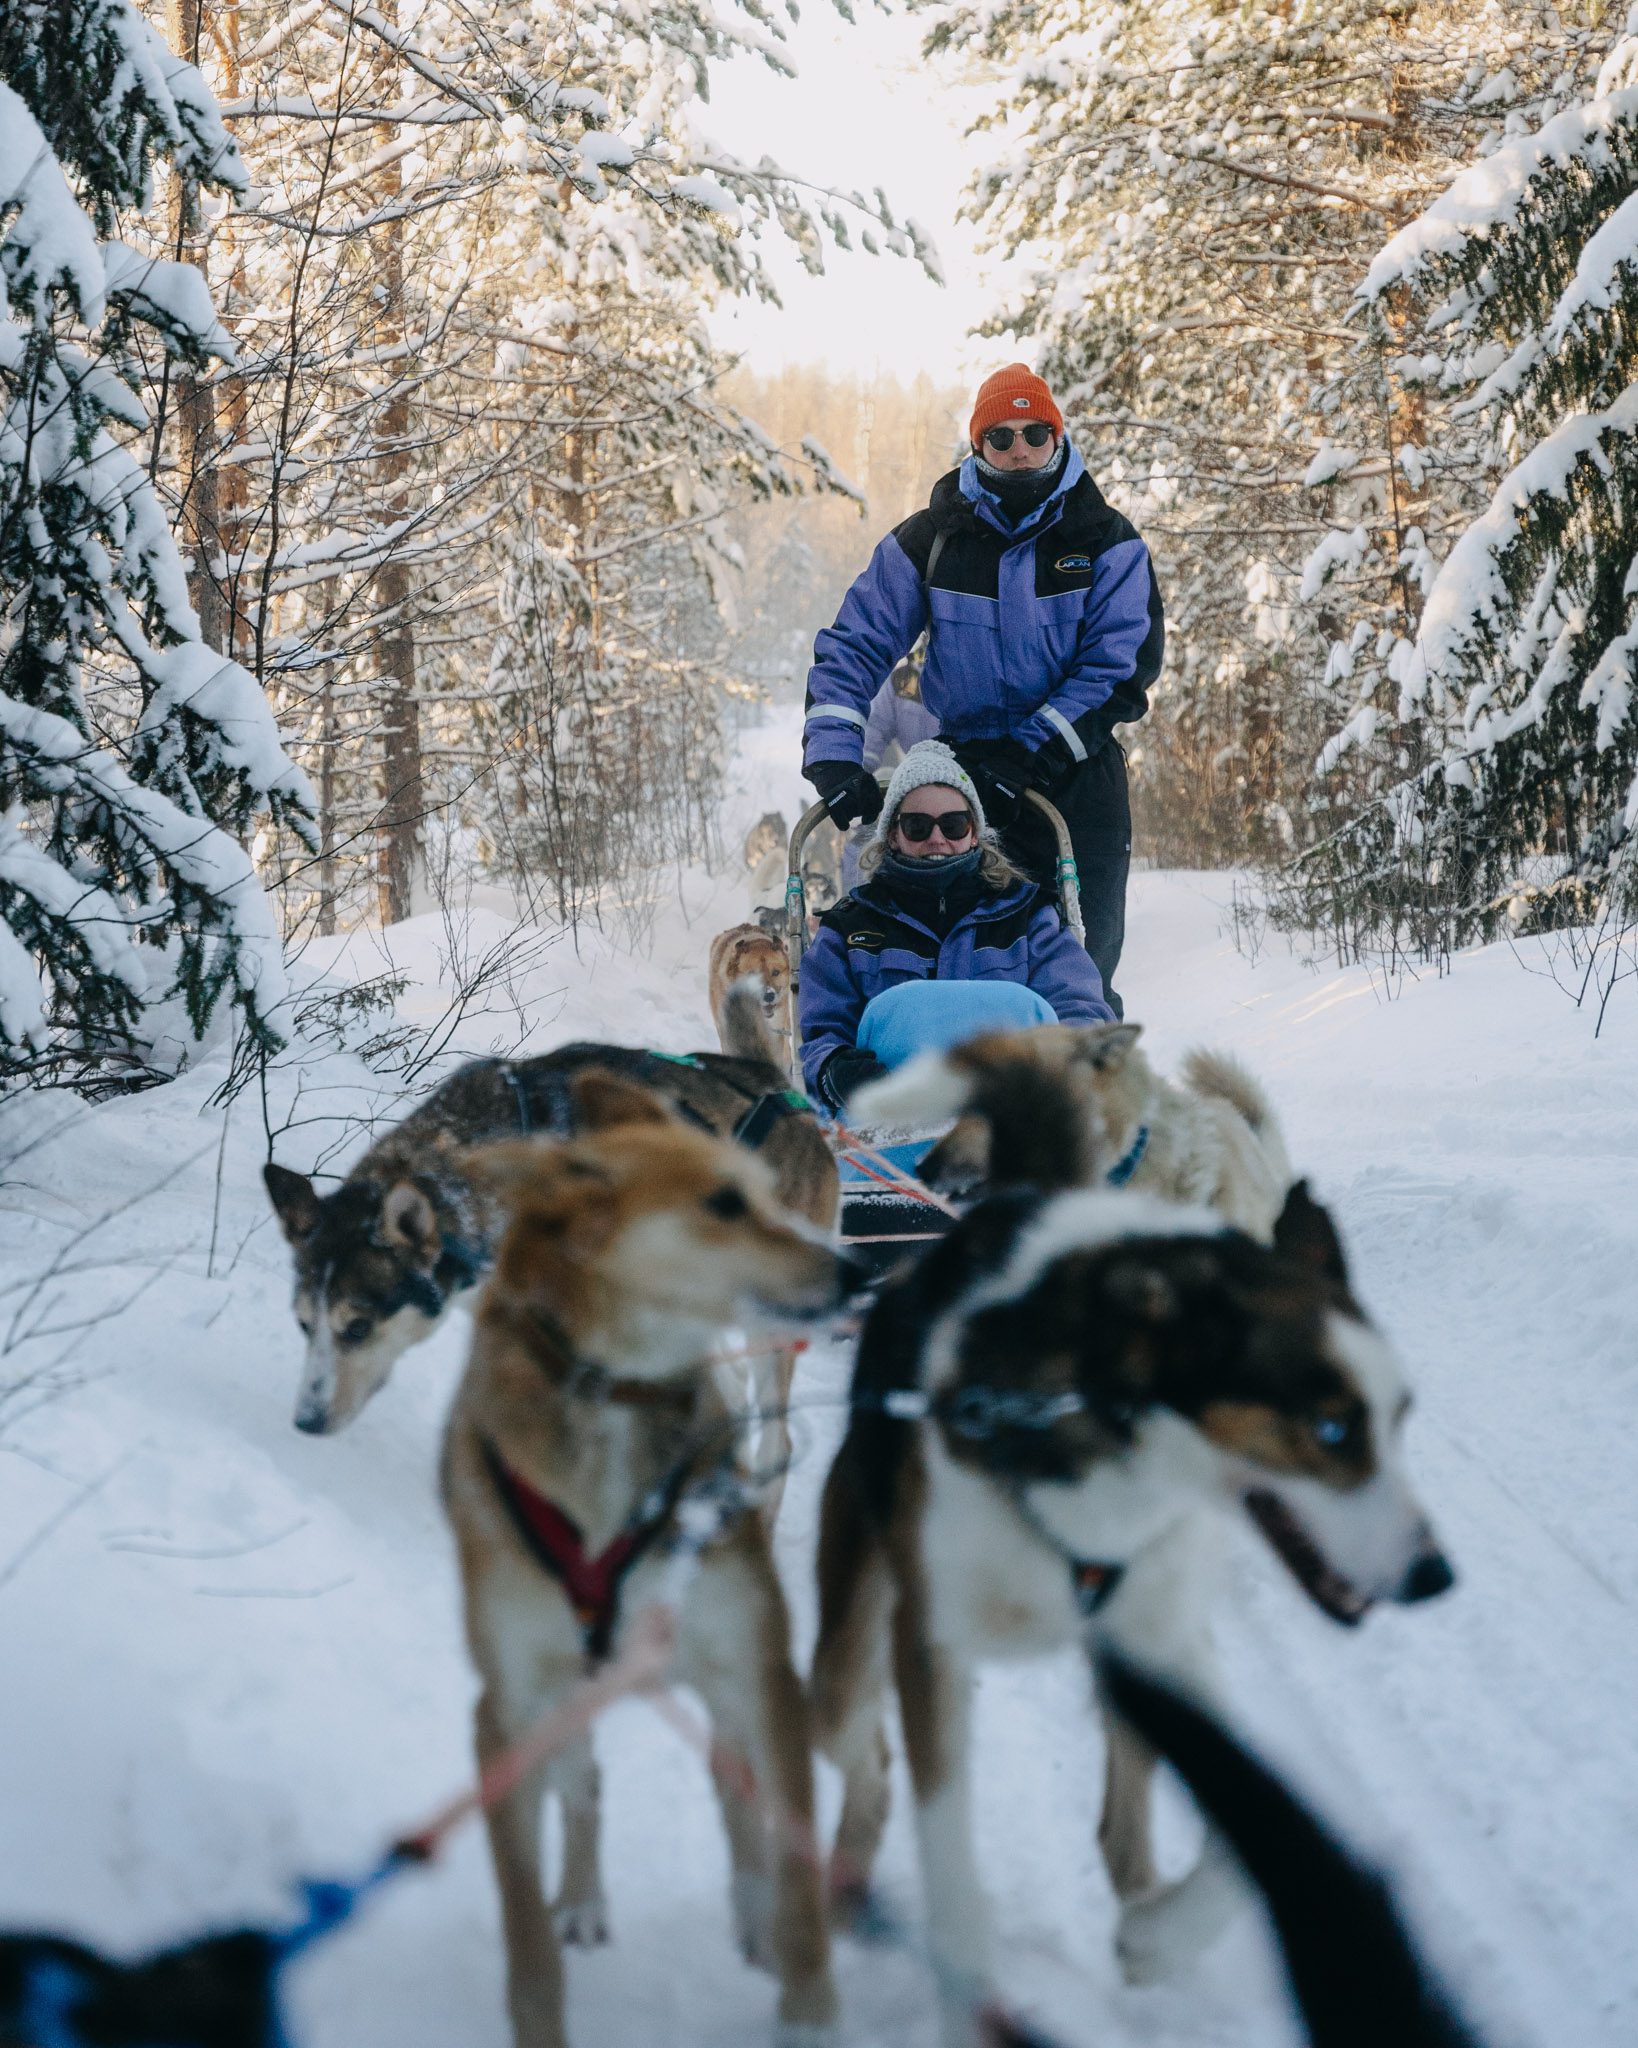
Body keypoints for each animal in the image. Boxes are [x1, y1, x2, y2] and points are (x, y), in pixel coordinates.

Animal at [448, 1073, 855, 2048]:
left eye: (763, 1194)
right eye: (722, 1203)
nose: (856, 1273)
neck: (614, 1394)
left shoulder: (759, 1671)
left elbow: (791, 1861)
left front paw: (808, 2004)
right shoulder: (505, 1713)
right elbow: (525, 1930)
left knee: (733, 1787)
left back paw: (751, 1912)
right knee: (586, 1782)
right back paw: (585, 1898)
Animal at [810, 1179, 1449, 2039]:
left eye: (1401, 1416)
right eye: (1332, 1428)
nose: (1435, 1574)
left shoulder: (1165, 1645)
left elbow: (1247, 1829)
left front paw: (1159, 1939)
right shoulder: (932, 1646)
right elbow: (951, 1871)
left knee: (1118, 1831)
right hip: (843, 1674)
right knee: (867, 1756)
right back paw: (844, 1885)